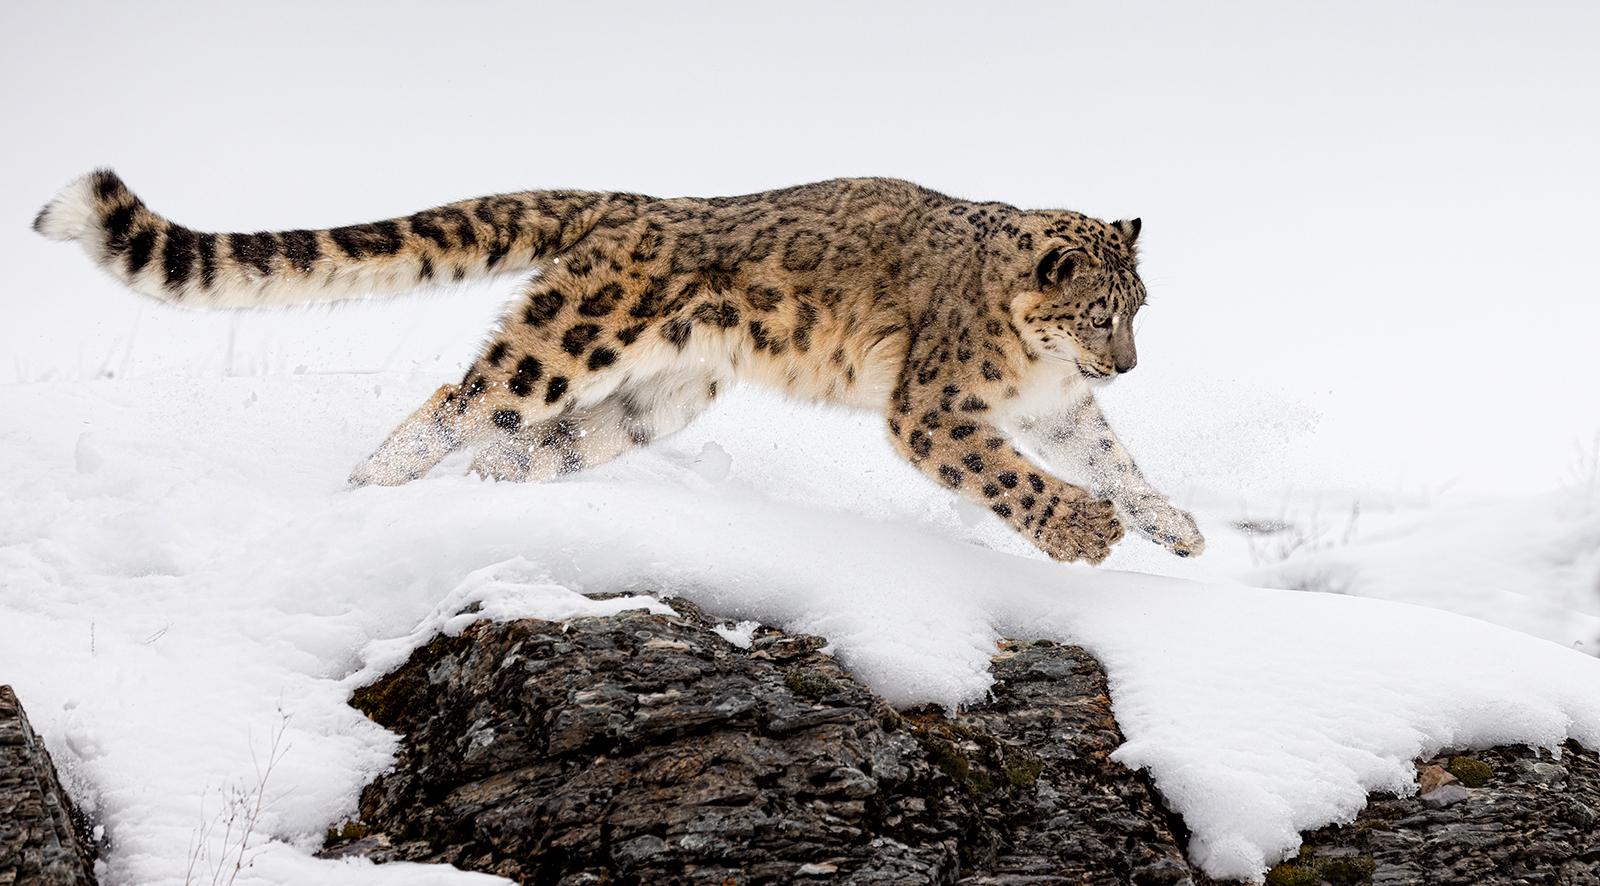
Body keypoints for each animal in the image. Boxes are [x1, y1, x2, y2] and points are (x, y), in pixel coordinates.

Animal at [34, 170, 1205, 564]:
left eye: (1139, 311)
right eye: (1102, 313)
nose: (1126, 365)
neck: (1037, 363)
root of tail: (632, 206)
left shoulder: (1058, 410)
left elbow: (1112, 455)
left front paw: (1173, 525)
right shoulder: (936, 407)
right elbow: (1006, 474)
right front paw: (1083, 532)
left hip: (643, 406)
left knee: (517, 450)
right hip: (565, 346)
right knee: (461, 398)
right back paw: (365, 490)